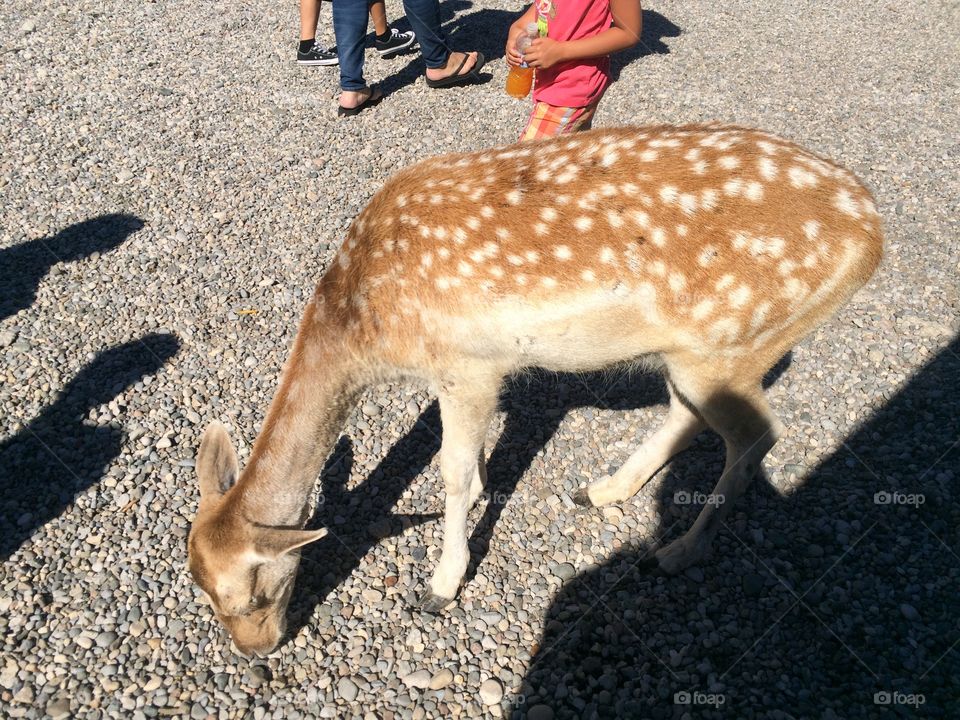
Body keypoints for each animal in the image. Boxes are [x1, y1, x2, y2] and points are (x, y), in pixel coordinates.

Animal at [187, 125, 883, 655]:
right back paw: (604, 490)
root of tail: (872, 236)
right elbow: (473, 463)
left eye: (254, 593)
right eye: (199, 588)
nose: (256, 651)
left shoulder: (468, 365)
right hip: (696, 355)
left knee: (759, 435)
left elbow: (452, 473)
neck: (371, 327)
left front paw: (441, 585)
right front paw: (486, 489)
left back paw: (678, 551)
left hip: (732, 343)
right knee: (693, 417)